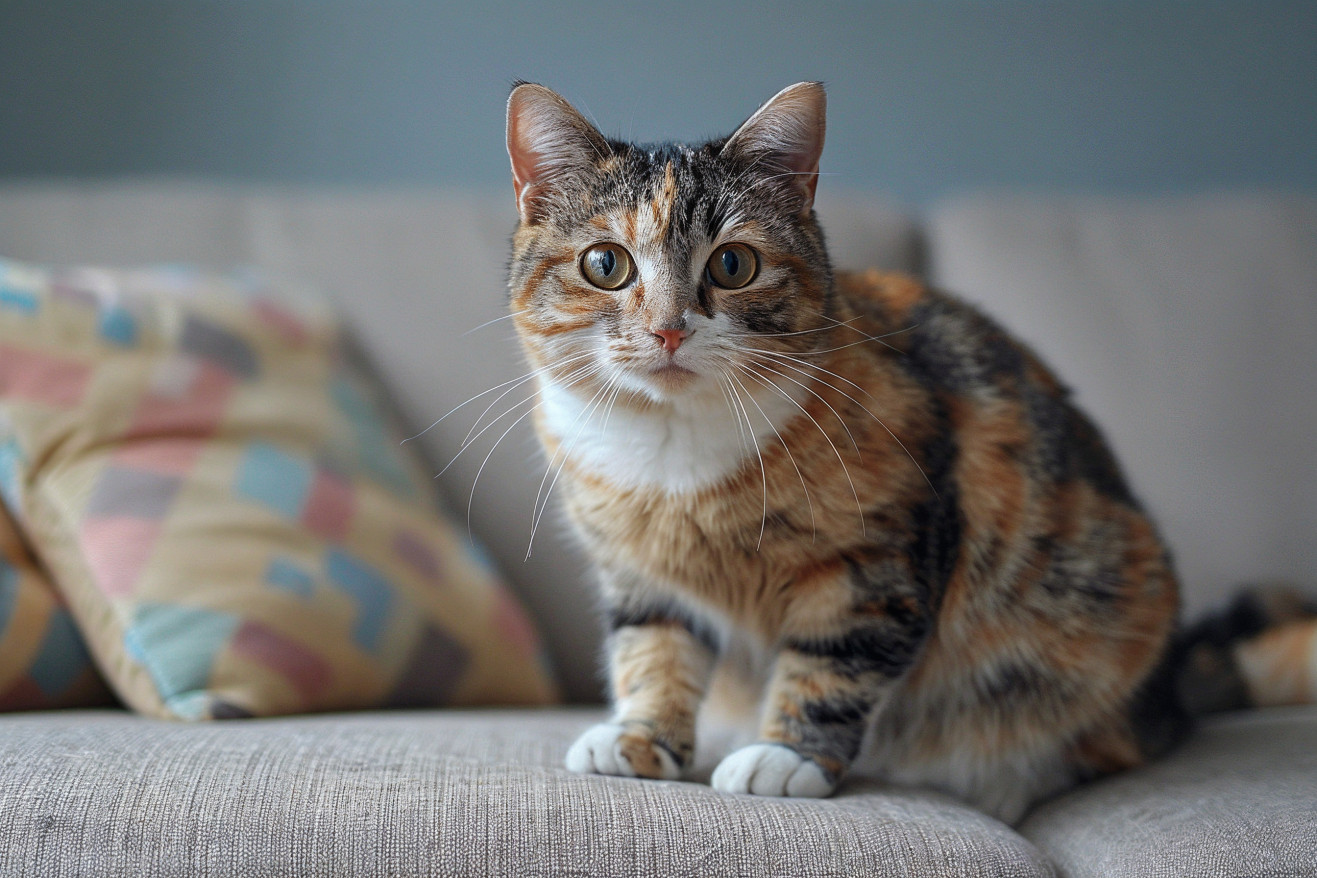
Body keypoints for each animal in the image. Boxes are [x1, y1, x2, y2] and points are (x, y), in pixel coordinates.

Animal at [497, 80, 1311, 826]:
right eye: (606, 264)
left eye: (732, 266)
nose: (668, 329)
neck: (672, 460)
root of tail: (1174, 682)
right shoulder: (640, 573)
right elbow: (653, 650)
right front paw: (639, 740)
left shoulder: (872, 557)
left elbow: (837, 659)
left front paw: (785, 757)